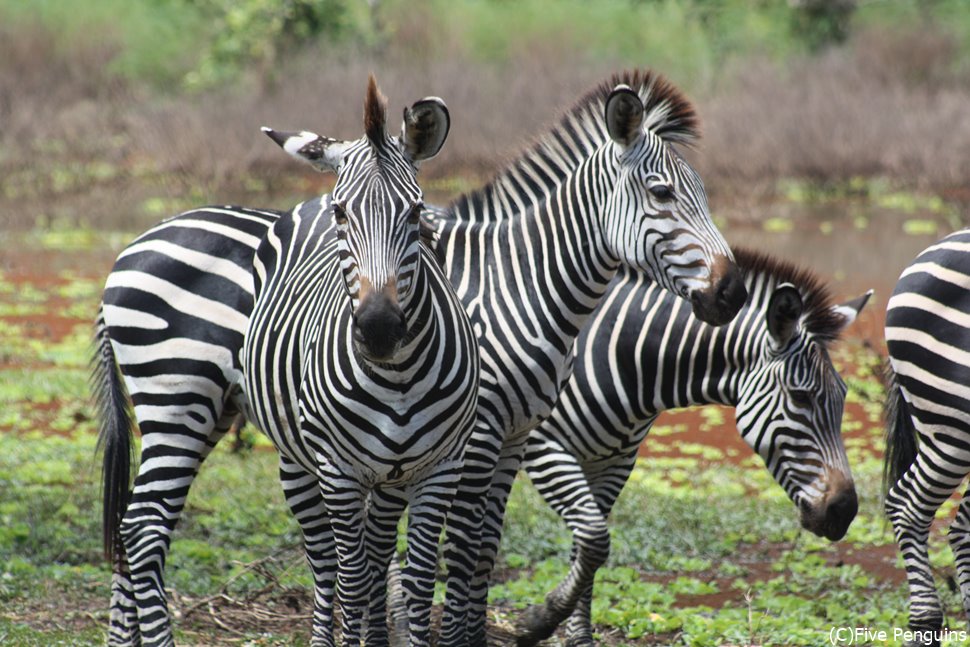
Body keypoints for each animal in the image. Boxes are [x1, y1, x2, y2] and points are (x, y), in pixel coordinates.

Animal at [520, 251, 872, 644]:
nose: (844, 510)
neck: (626, 359)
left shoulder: (613, 460)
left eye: (843, 396)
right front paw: (538, 620)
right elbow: (594, 541)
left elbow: (585, 547)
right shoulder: (544, 447)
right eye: (800, 397)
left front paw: (578, 636)